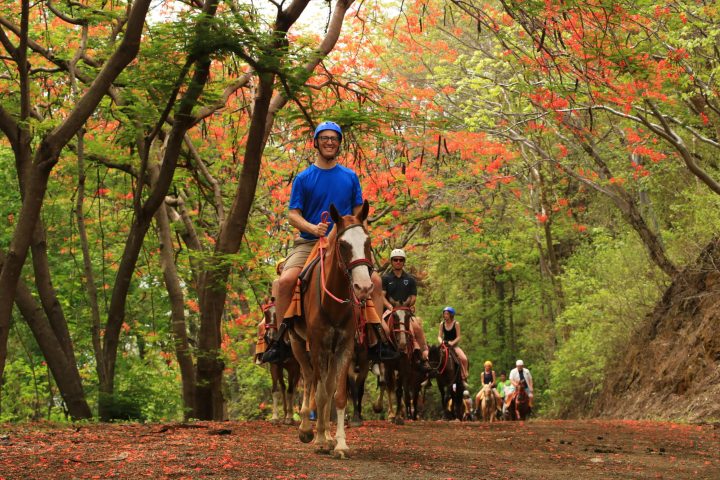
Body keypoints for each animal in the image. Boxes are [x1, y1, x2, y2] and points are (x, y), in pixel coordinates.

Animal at [288, 201, 375, 458]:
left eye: (368, 243)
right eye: (343, 245)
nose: (363, 287)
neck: (334, 303)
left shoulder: (345, 346)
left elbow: (337, 395)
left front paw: (339, 443)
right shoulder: (318, 345)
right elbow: (319, 392)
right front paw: (317, 439)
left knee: (326, 386)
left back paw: (326, 435)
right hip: (298, 343)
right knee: (310, 379)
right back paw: (307, 429)